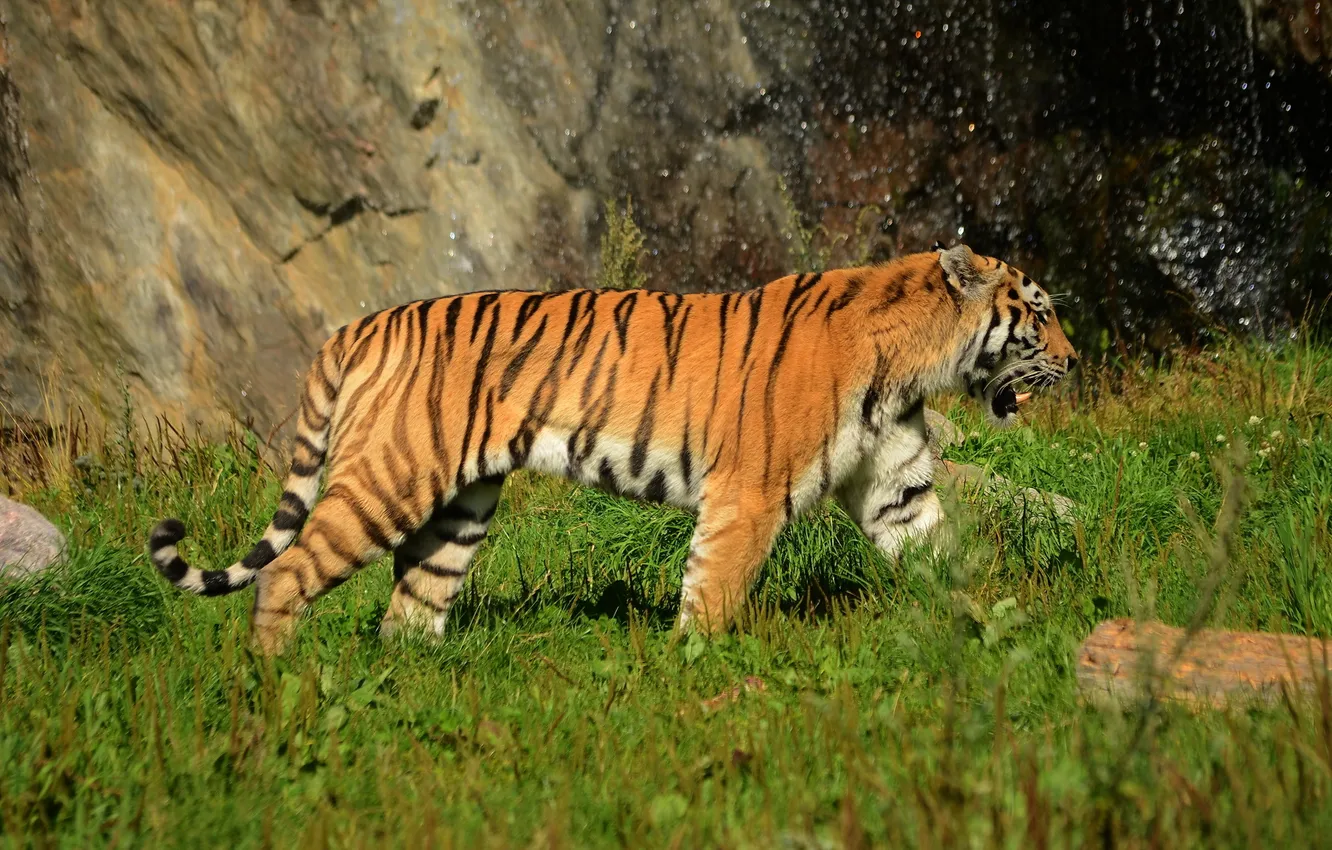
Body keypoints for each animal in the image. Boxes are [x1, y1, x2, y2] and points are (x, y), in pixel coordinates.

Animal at [148, 243, 1078, 654]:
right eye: (1039, 311)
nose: (1075, 360)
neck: (913, 361)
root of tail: (358, 326)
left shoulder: (897, 488)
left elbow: (947, 556)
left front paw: (1008, 635)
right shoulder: (750, 494)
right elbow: (714, 590)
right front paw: (695, 670)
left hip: (459, 509)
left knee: (409, 608)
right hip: (391, 479)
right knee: (285, 575)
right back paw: (280, 687)